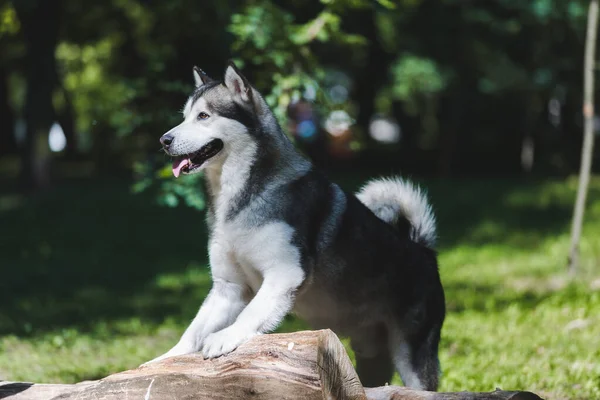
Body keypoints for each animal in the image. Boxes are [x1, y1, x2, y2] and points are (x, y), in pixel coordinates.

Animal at [148, 62, 442, 390]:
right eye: (184, 116)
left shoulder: (285, 272)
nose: (164, 140)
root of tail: (422, 248)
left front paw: (225, 337)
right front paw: (158, 363)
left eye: (203, 116)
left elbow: (251, 313)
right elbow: (193, 331)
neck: (239, 198)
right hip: (370, 353)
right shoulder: (229, 287)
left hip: (412, 354)